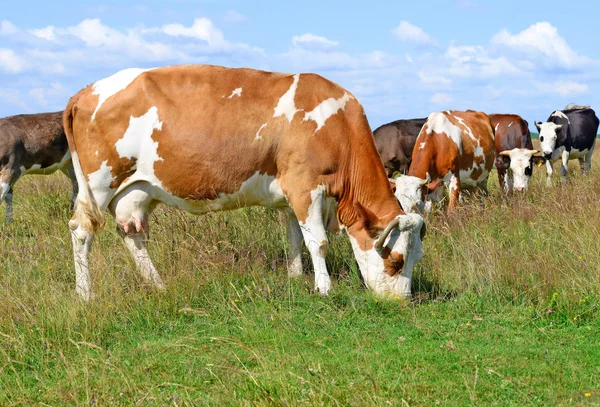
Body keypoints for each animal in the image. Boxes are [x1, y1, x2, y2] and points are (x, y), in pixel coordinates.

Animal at [63, 65, 426, 302]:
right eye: (395, 261)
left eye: (416, 259)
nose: (402, 301)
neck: (337, 125)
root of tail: (86, 90)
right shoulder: (303, 186)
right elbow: (319, 242)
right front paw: (324, 288)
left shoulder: (291, 194)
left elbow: (295, 239)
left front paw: (296, 277)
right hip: (99, 181)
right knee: (81, 231)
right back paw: (85, 294)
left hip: (136, 190)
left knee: (132, 234)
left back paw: (158, 286)